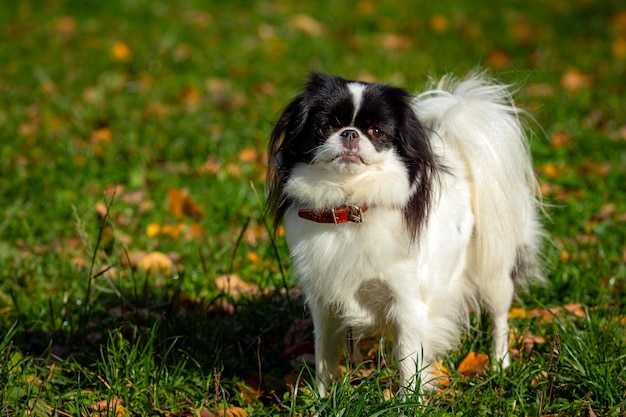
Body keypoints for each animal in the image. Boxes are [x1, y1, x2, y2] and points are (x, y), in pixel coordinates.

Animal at [264, 72, 540, 396]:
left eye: (376, 131)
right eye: (327, 126)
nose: (350, 133)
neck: (350, 206)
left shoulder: (407, 304)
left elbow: (408, 362)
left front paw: (408, 400)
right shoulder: (324, 304)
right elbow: (325, 357)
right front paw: (322, 397)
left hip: (492, 271)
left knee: (499, 316)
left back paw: (499, 364)